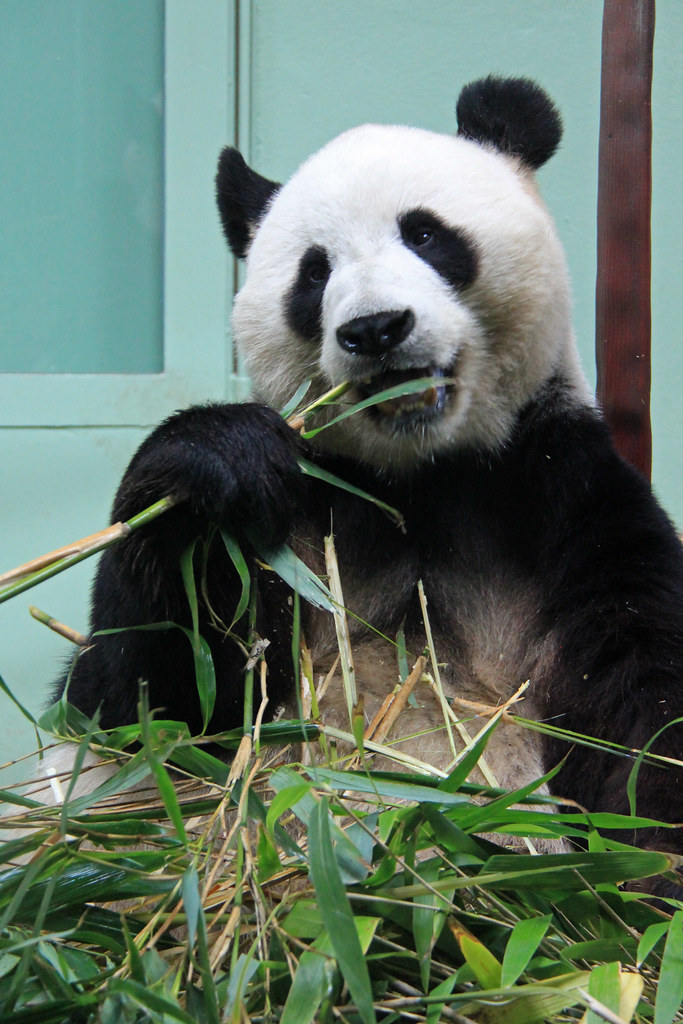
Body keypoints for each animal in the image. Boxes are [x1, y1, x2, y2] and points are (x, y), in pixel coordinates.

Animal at [50, 76, 683, 873]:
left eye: (426, 235)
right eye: (314, 272)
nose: (376, 329)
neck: (417, 481)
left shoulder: (566, 499)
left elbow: (647, 715)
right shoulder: (293, 532)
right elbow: (137, 707)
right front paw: (216, 460)